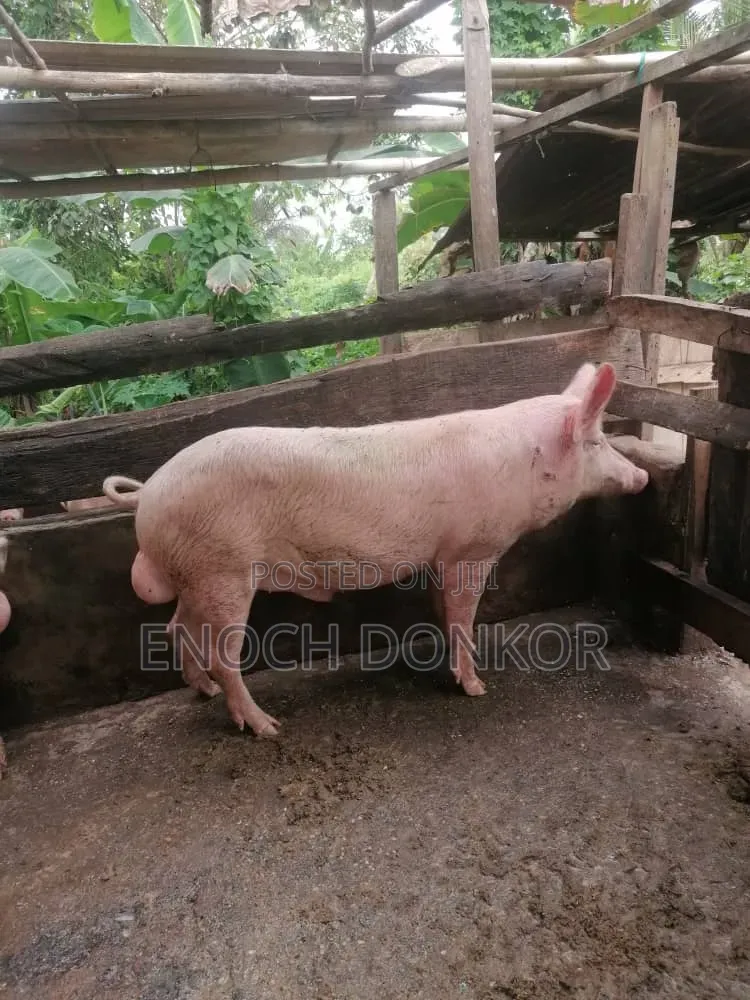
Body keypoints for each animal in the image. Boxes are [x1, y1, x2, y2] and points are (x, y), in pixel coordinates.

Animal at [102, 362, 649, 739]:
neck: (525, 462)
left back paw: (206, 691)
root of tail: (147, 493)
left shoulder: (441, 556)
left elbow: (444, 612)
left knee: (177, 628)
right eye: (597, 442)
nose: (642, 477)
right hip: (223, 571)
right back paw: (266, 727)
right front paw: (477, 688)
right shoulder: (472, 549)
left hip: (197, 576)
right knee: (222, 653)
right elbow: (465, 615)